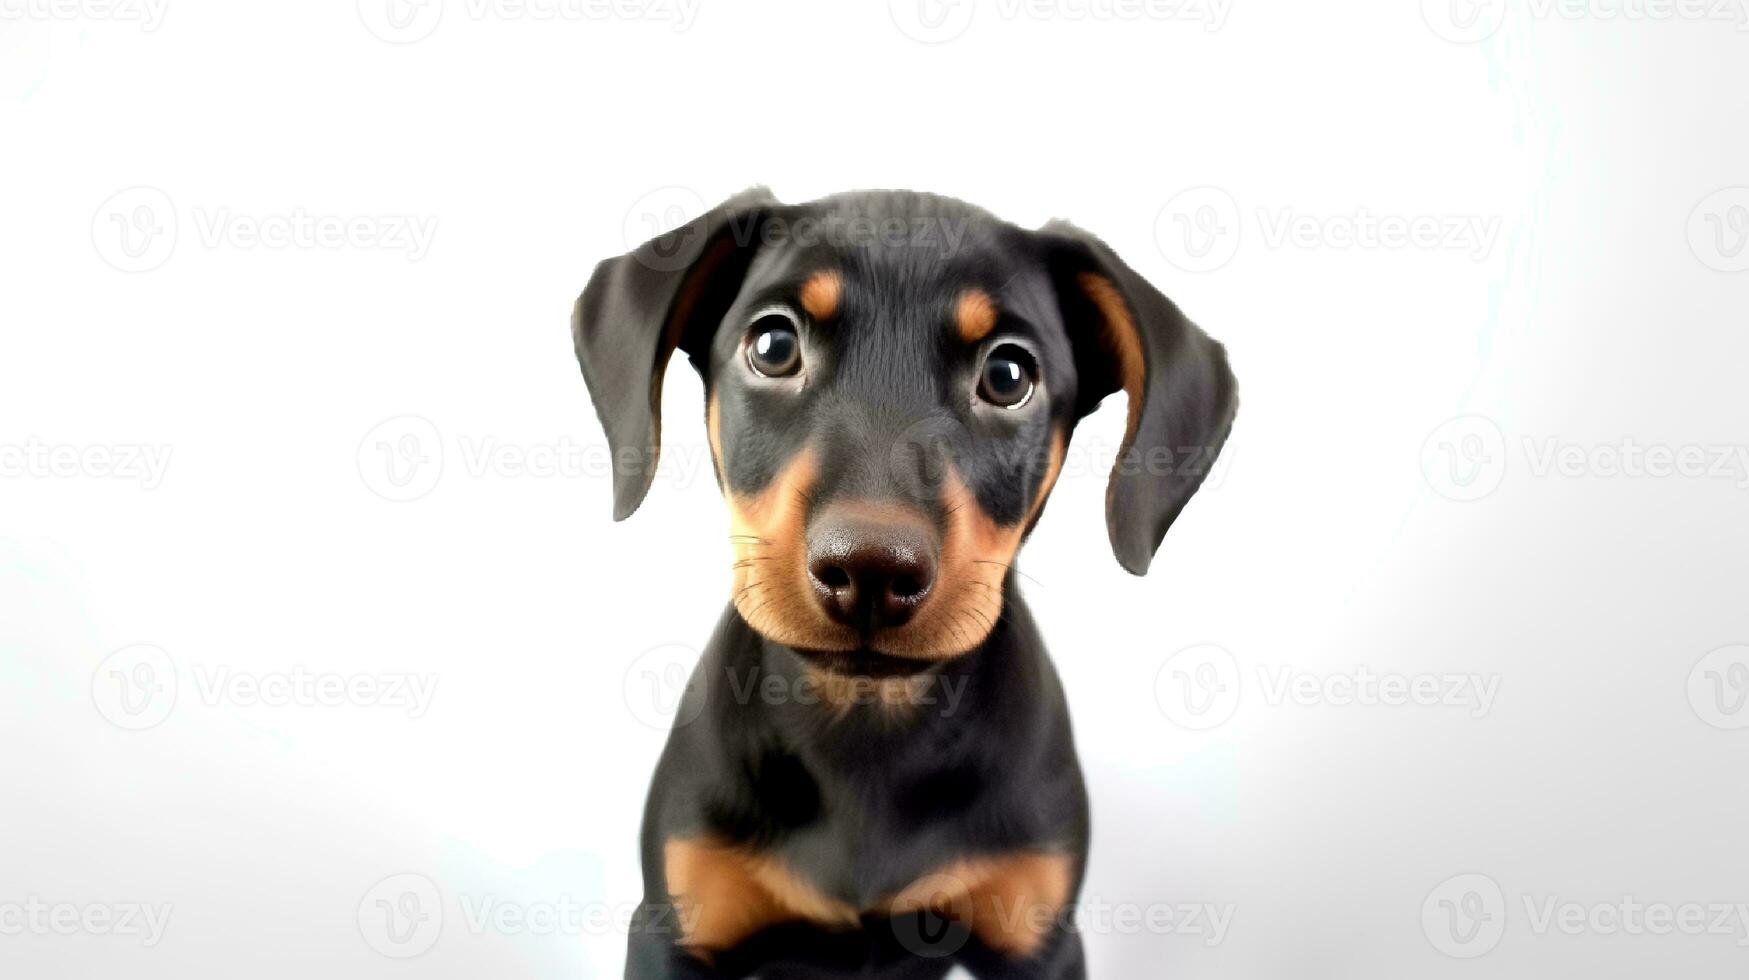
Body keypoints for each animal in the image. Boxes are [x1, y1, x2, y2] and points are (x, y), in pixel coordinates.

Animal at [573, 187, 1231, 973]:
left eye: (1008, 376)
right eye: (773, 346)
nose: (869, 569)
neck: (868, 725)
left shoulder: (1039, 936)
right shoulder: (676, 928)